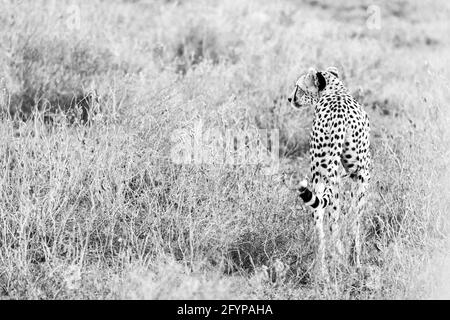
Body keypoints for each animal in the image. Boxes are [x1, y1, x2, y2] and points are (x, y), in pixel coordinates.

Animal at [286, 67, 370, 276]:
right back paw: (346, 259)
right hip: (349, 174)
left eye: (298, 87)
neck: (334, 91)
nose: (290, 98)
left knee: (320, 221)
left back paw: (323, 267)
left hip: (320, 175)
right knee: (342, 220)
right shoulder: (359, 174)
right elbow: (351, 217)